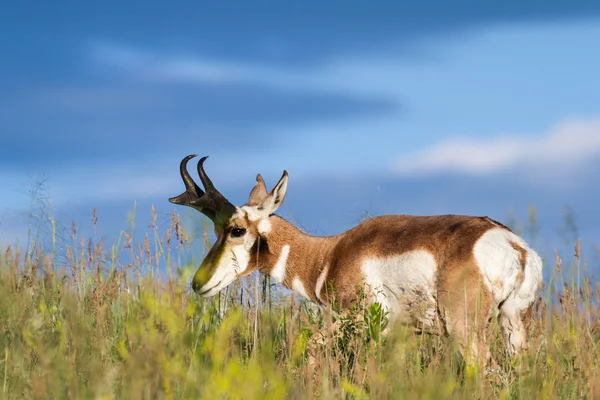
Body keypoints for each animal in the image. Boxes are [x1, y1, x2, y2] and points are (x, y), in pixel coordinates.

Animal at [169, 155, 544, 368]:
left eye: (235, 229)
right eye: (216, 229)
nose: (198, 283)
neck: (330, 253)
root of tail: (512, 245)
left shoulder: (356, 322)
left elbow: (312, 349)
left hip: (465, 330)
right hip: (514, 325)